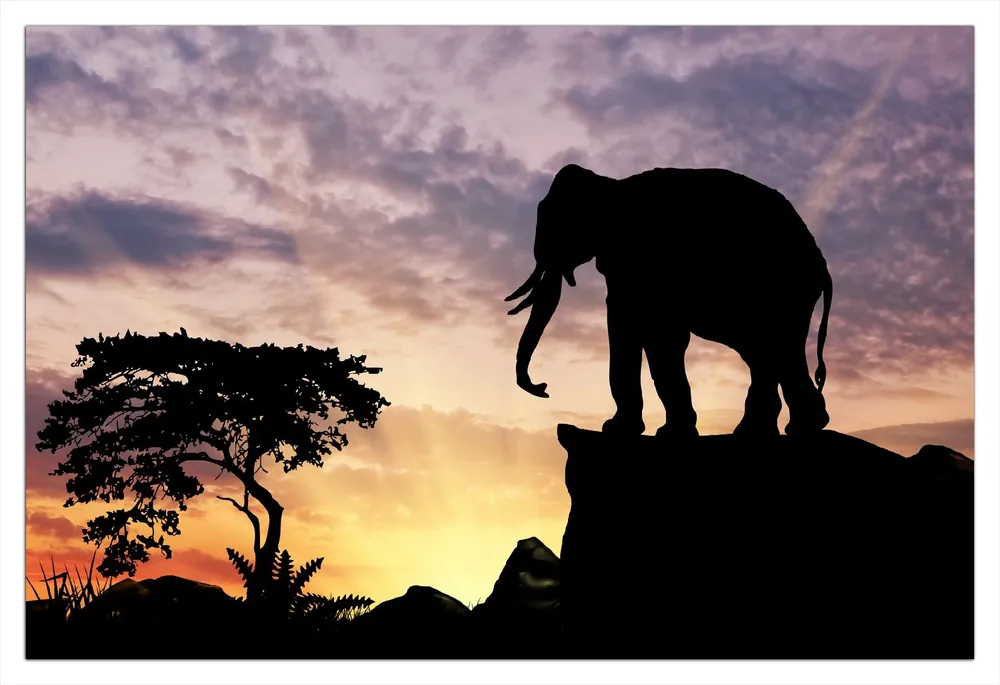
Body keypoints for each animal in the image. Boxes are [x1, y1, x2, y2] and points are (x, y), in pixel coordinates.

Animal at [505, 163, 833, 439]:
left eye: (554, 225)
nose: (543, 388)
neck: (610, 185)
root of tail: (821, 262)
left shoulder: (644, 259)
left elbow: (654, 334)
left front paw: (629, 431)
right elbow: (642, 330)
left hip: (781, 290)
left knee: (773, 349)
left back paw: (781, 430)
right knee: (769, 352)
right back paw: (782, 430)